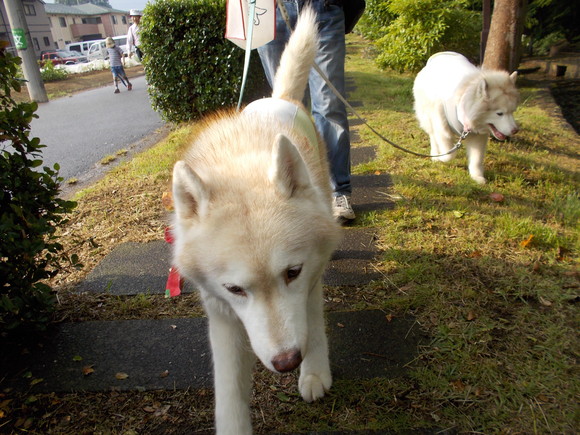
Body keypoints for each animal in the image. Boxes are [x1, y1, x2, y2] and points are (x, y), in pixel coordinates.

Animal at [170, 6, 340, 435]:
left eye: (292, 272)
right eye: (235, 289)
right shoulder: (220, 311)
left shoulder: (311, 275)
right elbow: (229, 387)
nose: (287, 363)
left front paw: (314, 371)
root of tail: (278, 98)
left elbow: (313, 321)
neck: (240, 163)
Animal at [414, 51, 520, 184]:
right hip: (428, 118)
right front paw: (441, 158)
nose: (515, 130)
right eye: (499, 113)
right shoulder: (443, 130)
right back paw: (435, 153)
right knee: (432, 136)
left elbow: (476, 159)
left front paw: (477, 176)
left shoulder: (478, 137)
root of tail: (439, 55)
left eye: (513, 111)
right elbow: (449, 155)